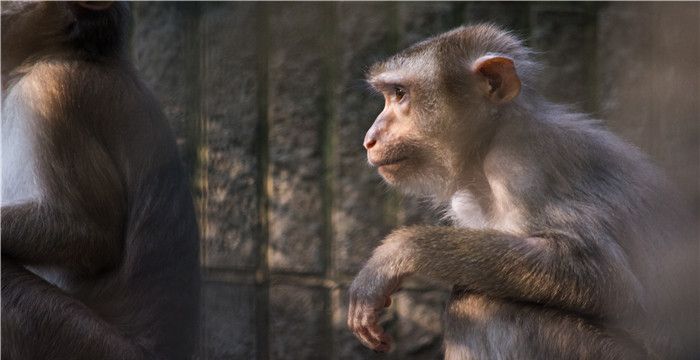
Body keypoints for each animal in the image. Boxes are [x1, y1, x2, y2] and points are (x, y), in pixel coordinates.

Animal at [348, 23, 696, 358]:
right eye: (390, 95)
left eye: (400, 93)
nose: (369, 138)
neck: (490, 143)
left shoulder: (523, 169)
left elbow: (606, 278)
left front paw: (399, 252)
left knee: (479, 303)